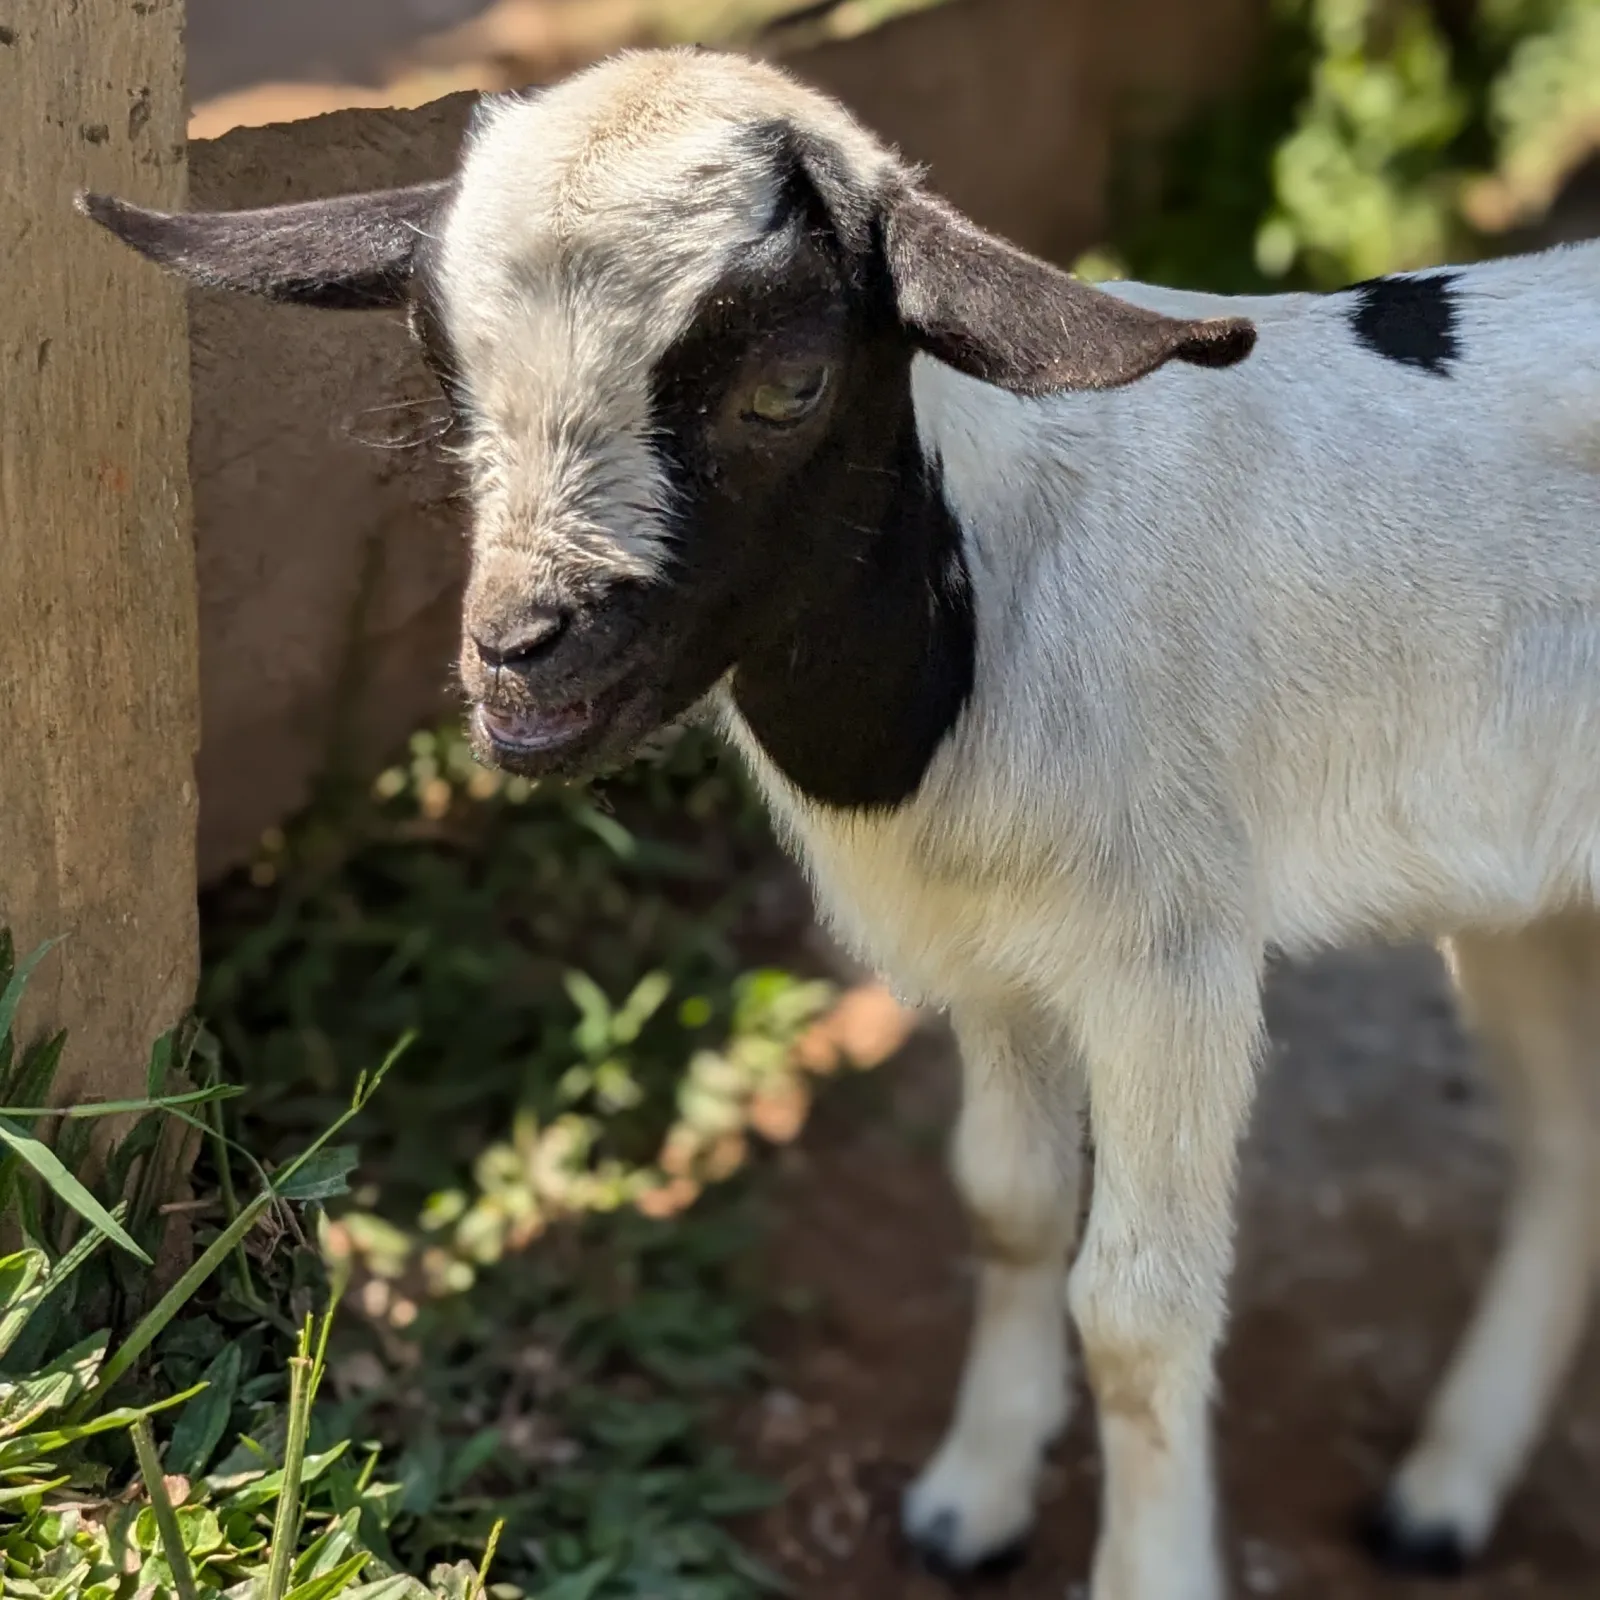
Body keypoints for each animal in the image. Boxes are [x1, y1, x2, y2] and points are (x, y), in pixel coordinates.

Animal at [86, 46, 1600, 1600]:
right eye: (447, 379)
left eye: (790, 384)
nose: (517, 661)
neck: (973, 609)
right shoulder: (999, 957)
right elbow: (1007, 1205)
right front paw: (973, 1498)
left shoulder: (1169, 955)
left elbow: (1139, 1309)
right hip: (1536, 905)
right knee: (1566, 1160)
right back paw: (1449, 1485)